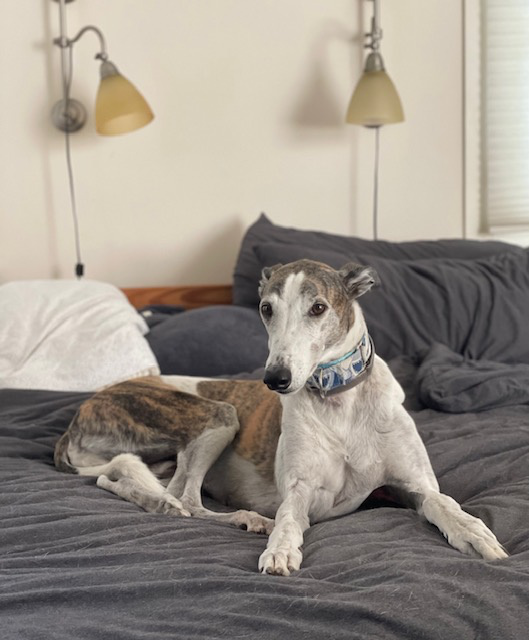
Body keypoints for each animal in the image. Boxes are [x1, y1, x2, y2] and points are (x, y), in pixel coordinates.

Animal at [54, 260, 508, 576]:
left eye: (318, 307)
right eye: (265, 308)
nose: (275, 379)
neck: (339, 401)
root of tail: (80, 414)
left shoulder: (412, 485)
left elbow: (443, 502)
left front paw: (475, 533)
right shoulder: (300, 492)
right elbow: (289, 519)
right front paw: (279, 549)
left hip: (171, 451)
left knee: (118, 481)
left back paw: (156, 500)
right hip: (218, 414)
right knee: (186, 499)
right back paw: (244, 517)